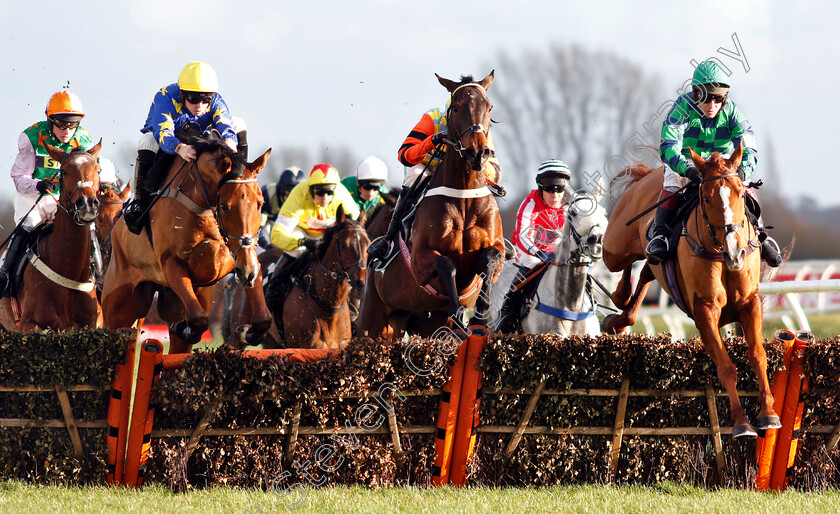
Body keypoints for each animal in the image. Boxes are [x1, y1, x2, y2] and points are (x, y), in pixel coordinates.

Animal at [100, 130, 272, 352]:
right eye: (224, 206)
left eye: (260, 203)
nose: (247, 272)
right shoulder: (171, 263)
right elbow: (198, 319)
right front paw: (186, 327)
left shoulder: (239, 260)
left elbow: (264, 318)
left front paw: (248, 332)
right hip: (121, 306)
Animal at [360, 72, 506, 336]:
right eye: (456, 107)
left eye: (489, 107)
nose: (477, 153)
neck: (464, 200)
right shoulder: (420, 260)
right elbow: (447, 264)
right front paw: (459, 313)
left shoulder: (497, 248)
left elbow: (490, 258)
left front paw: (479, 318)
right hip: (374, 321)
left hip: (421, 322)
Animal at [604, 141, 780, 436]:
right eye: (706, 198)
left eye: (740, 194)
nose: (734, 250)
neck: (721, 255)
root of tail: (649, 174)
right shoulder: (704, 310)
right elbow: (725, 366)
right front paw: (741, 422)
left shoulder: (750, 302)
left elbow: (758, 355)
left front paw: (768, 413)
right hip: (614, 247)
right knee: (626, 263)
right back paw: (620, 296)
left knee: (648, 270)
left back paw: (621, 314)